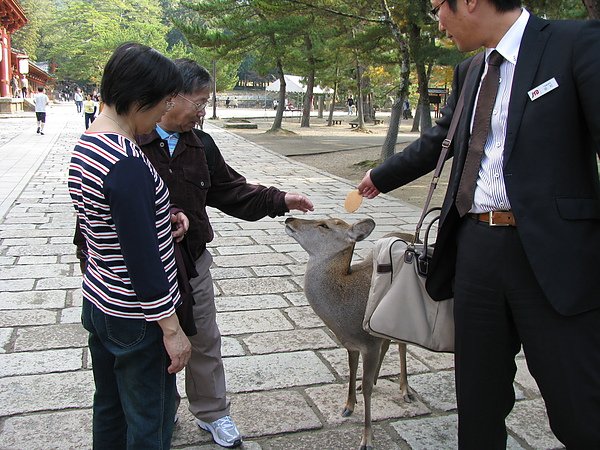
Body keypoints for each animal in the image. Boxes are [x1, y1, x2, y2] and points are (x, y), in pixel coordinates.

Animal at [284, 216, 412, 448]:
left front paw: (367, 439)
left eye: (324, 225)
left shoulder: (369, 344)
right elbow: (352, 371)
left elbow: (368, 388)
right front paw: (348, 406)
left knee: (401, 344)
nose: (290, 218)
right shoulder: (351, 344)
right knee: (388, 343)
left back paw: (405, 390)